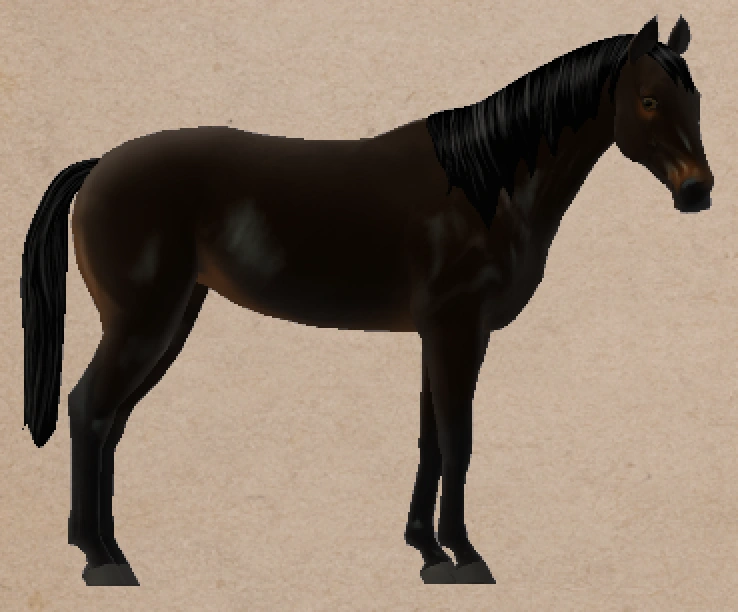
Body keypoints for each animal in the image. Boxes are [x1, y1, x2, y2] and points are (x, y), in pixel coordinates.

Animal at [21, 15, 713, 586]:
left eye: (696, 98)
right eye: (649, 99)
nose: (698, 191)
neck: (485, 187)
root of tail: (100, 165)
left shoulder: (442, 335)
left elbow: (432, 438)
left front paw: (428, 551)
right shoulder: (458, 329)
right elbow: (458, 438)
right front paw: (468, 555)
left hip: (171, 318)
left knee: (111, 421)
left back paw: (109, 551)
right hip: (143, 323)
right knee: (90, 410)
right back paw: (100, 561)